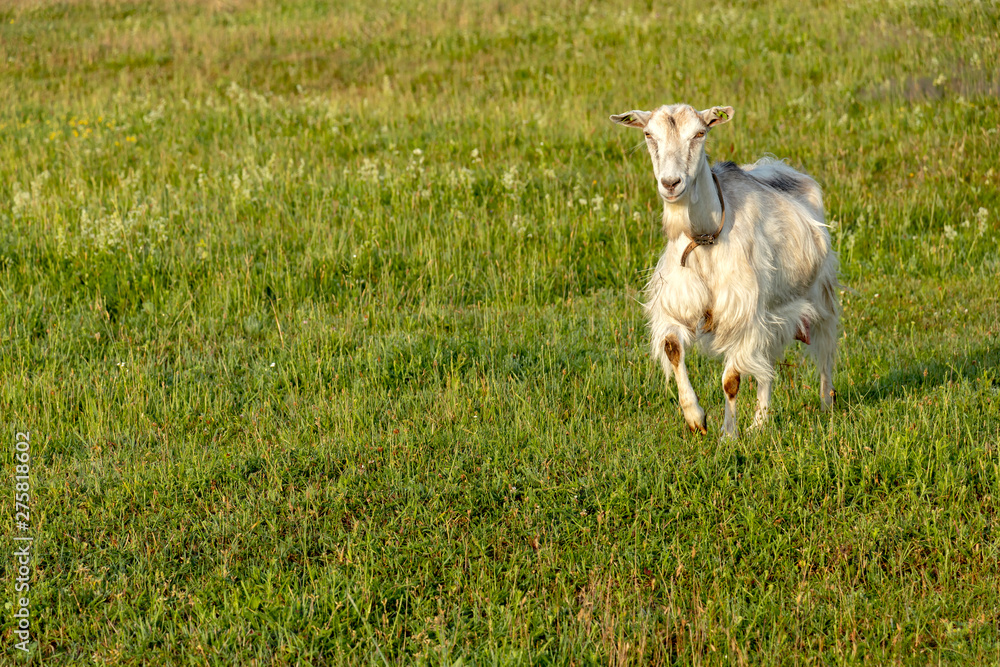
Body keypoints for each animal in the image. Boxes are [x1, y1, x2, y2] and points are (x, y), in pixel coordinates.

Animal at [610, 104, 839, 437]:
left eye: (699, 133)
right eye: (648, 134)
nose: (670, 183)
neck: (706, 238)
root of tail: (775, 165)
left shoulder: (741, 315)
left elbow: (731, 381)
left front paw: (728, 435)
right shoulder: (679, 303)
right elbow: (672, 347)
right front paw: (696, 418)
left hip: (818, 293)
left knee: (825, 349)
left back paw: (825, 404)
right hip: (772, 312)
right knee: (766, 365)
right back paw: (760, 423)